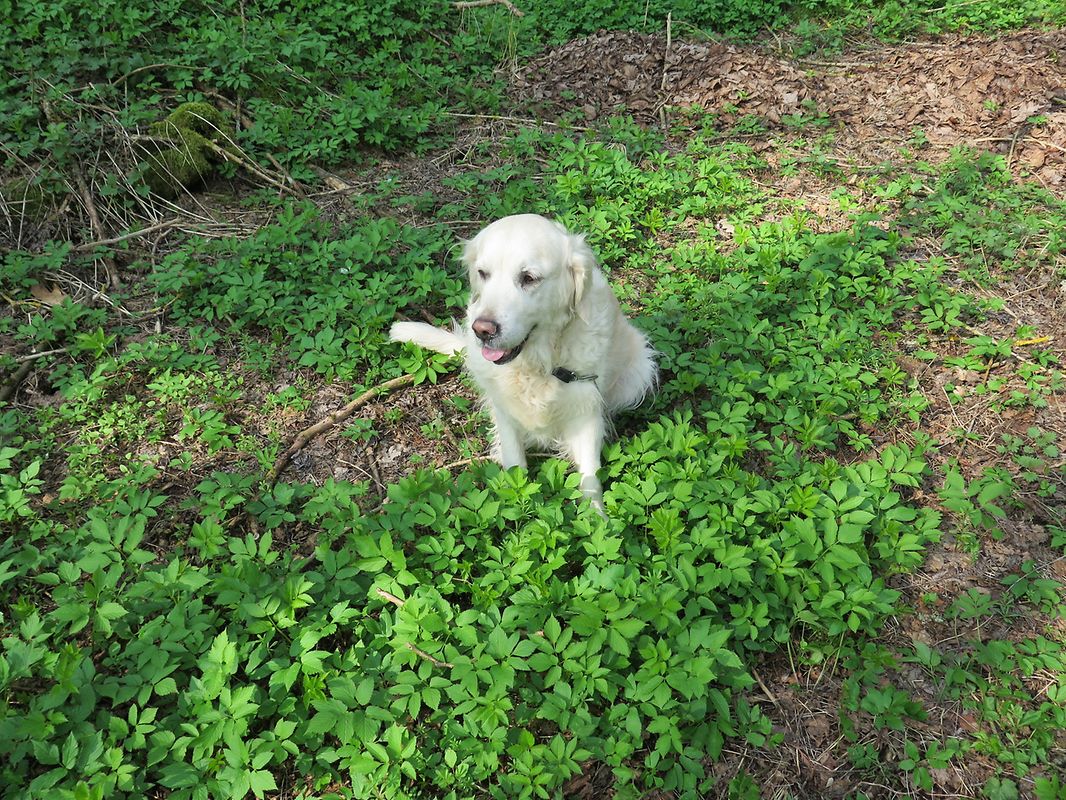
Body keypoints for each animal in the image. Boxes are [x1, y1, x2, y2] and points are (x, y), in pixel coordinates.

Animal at [390, 214, 657, 512]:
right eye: (483, 273)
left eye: (529, 278)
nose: (482, 330)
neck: (537, 362)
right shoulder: (505, 410)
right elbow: (515, 462)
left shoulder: (586, 406)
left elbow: (590, 476)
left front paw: (597, 518)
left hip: (639, 370)